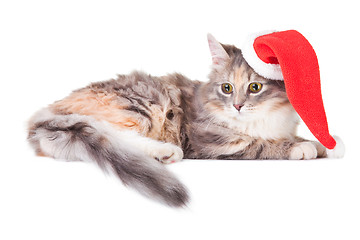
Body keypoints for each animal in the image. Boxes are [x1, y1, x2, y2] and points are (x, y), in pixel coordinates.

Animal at [27, 34, 326, 208]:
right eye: (227, 88)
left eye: (254, 88)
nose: (238, 106)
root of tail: (51, 110)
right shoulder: (210, 140)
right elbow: (259, 144)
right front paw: (301, 148)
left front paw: (322, 145)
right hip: (141, 104)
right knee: (113, 133)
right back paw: (164, 152)